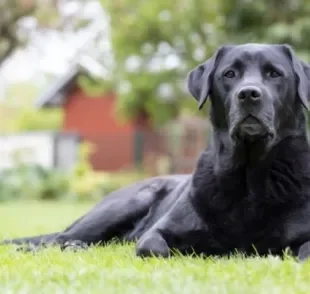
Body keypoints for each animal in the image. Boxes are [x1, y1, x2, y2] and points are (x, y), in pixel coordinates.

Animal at [4, 42, 310, 260]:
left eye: (274, 74)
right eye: (229, 74)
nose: (248, 94)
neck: (248, 176)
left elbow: (302, 254)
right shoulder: (157, 232)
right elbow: (154, 248)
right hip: (127, 202)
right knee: (56, 239)